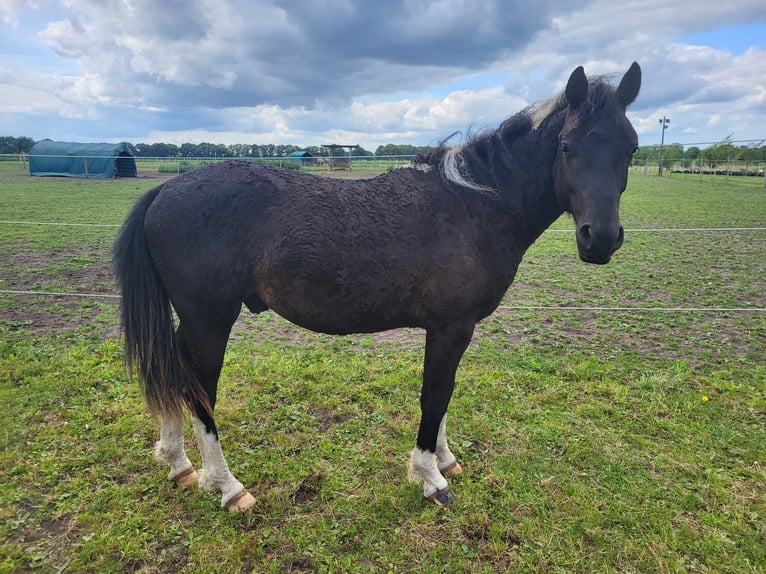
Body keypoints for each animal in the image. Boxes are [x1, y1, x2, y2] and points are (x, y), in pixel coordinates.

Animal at [114, 62, 641, 511]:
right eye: (568, 146)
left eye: (631, 147)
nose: (600, 239)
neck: (476, 204)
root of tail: (165, 189)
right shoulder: (451, 326)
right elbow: (435, 394)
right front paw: (431, 478)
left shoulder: (452, 329)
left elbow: (444, 394)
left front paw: (445, 460)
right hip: (210, 321)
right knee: (199, 391)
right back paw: (226, 486)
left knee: (171, 371)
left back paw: (178, 463)